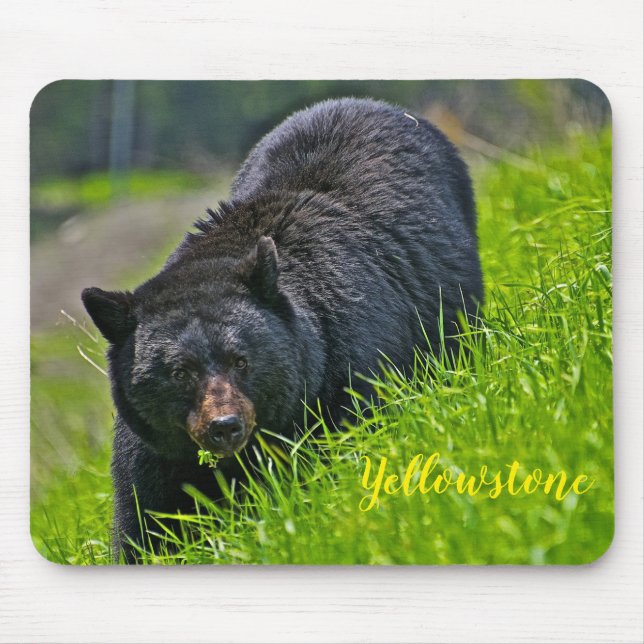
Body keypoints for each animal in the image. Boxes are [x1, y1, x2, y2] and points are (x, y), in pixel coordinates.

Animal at [81, 97, 483, 562]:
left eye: (242, 360)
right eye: (179, 372)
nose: (225, 426)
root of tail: (368, 103)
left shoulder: (345, 375)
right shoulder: (154, 448)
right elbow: (146, 520)